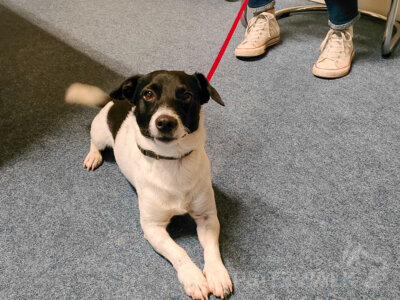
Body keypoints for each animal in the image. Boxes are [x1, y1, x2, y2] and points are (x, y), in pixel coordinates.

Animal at [65, 71, 233, 300]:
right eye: (148, 94)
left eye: (187, 95)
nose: (166, 122)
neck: (171, 162)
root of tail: (113, 101)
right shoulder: (153, 227)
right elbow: (178, 252)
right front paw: (194, 278)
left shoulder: (207, 218)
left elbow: (212, 249)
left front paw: (217, 274)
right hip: (99, 134)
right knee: (94, 143)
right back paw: (93, 156)